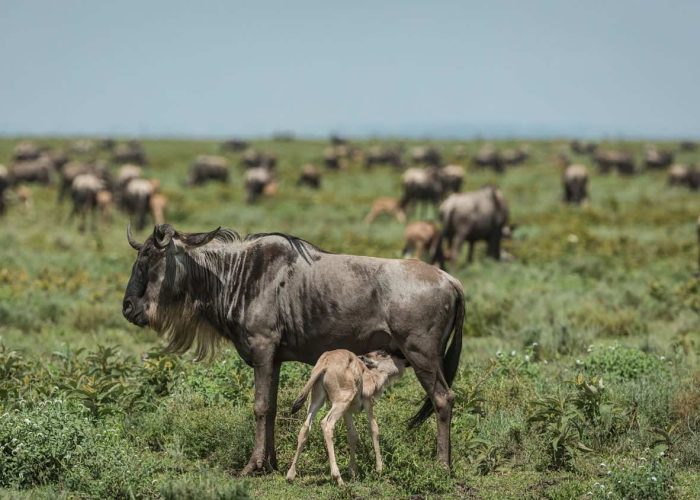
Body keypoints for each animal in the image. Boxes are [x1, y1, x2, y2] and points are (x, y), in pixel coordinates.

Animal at [288, 350, 408, 486]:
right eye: (383, 354)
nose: (404, 362)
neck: (370, 375)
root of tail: (325, 363)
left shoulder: (348, 411)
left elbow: (352, 435)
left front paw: (353, 472)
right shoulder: (368, 401)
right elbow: (374, 429)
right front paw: (379, 469)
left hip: (318, 399)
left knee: (306, 426)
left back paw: (290, 475)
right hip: (341, 401)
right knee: (326, 424)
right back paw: (338, 478)